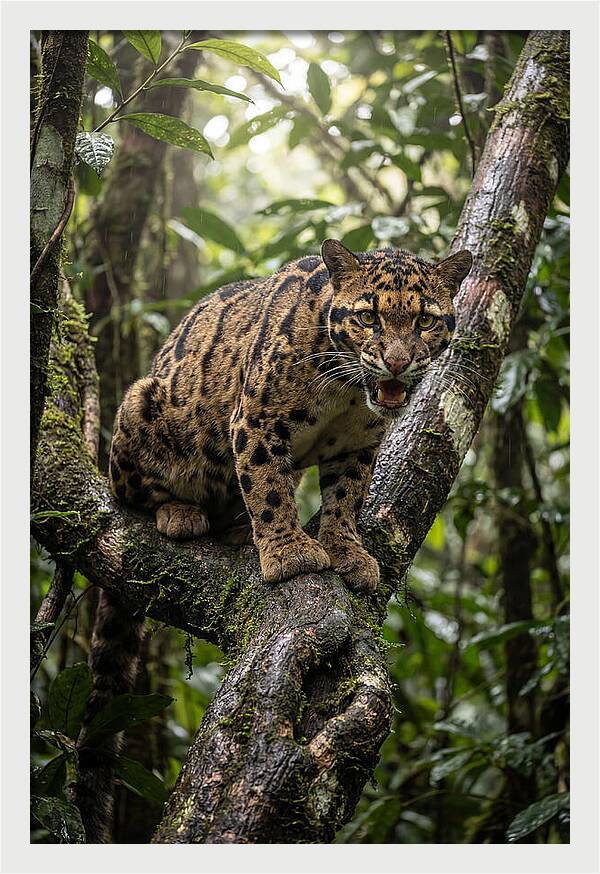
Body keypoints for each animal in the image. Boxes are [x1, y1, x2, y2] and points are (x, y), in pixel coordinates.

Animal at [109, 239, 472, 592]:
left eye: (425, 321)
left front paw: (346, 549)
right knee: (133, 494)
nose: (397, 362)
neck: (346, 391)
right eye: (368, 318)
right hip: (141, 400)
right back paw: (181, 512)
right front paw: (289, 551)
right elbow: (268, 487)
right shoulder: (257, 421)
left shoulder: (358, 445)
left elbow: (346, 497)